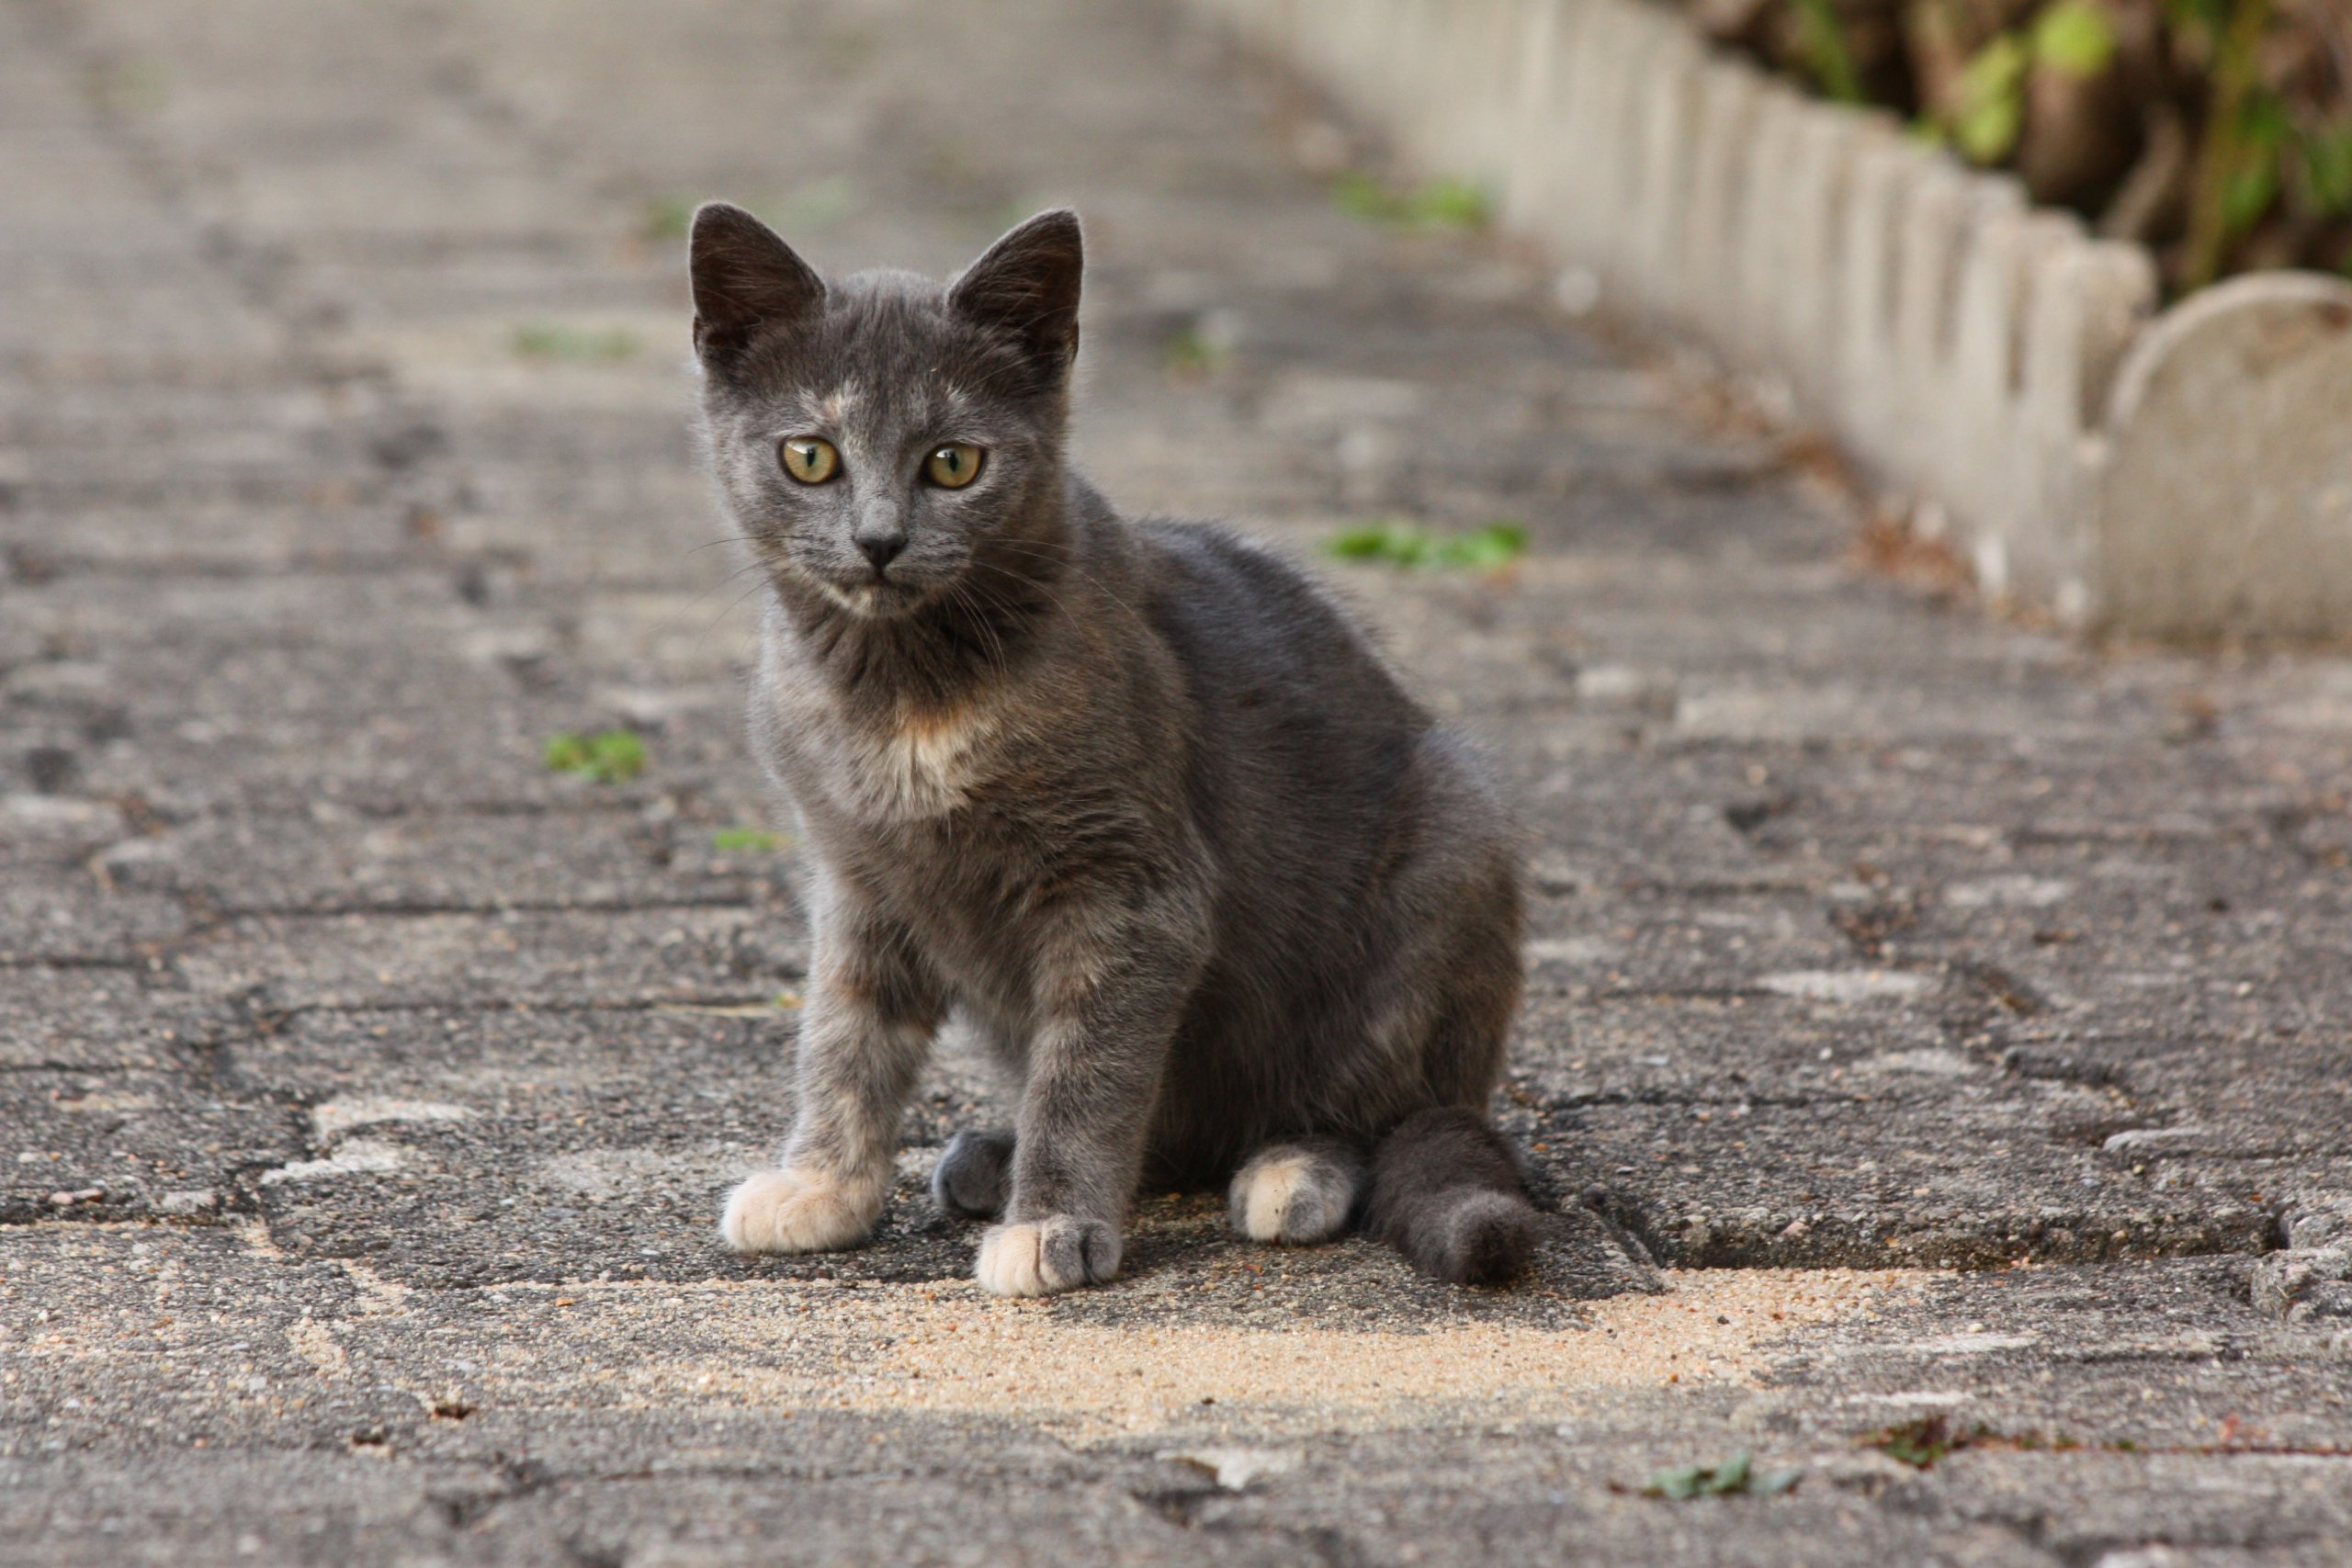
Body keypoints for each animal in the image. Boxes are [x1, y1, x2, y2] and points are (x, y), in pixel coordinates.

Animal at [691, 202, 1543, 1297]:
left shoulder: (1132, 886)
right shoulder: (859, 874)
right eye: (809, 456)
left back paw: (1292, 1170)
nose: (879, 541)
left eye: (953, 462)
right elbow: (844, 1034)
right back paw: (992, 1157)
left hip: (1450, 846)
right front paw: (822, 1186)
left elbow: (1090, 1069)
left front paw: (1052, 1225)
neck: (905, 692)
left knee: (1375, 1107)